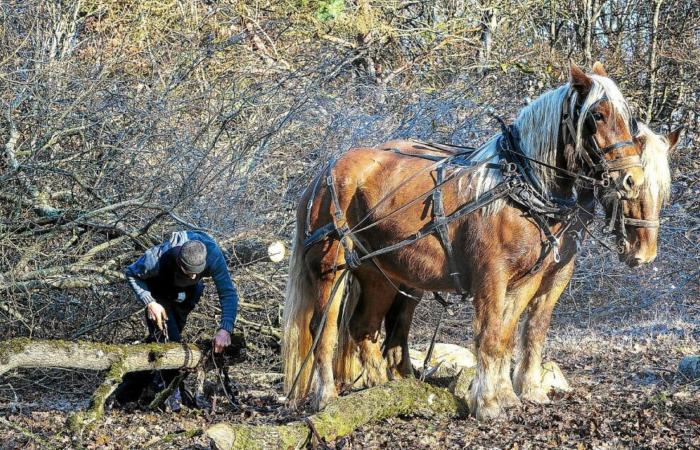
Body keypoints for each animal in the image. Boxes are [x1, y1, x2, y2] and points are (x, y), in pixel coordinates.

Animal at [284, 62, 672, 418]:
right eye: (597, 115)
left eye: (628, 119)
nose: (631, 178)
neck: (522, 188)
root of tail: (324, 173)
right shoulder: (492, 277)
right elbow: (489, 337)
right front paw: (487, 404)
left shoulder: (530, 280)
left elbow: (510, 335)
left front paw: (510, 395)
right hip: (331, 269)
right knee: (324, 330)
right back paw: (326, 396)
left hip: (380, 273)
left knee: (364, 327)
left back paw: (382, 387)